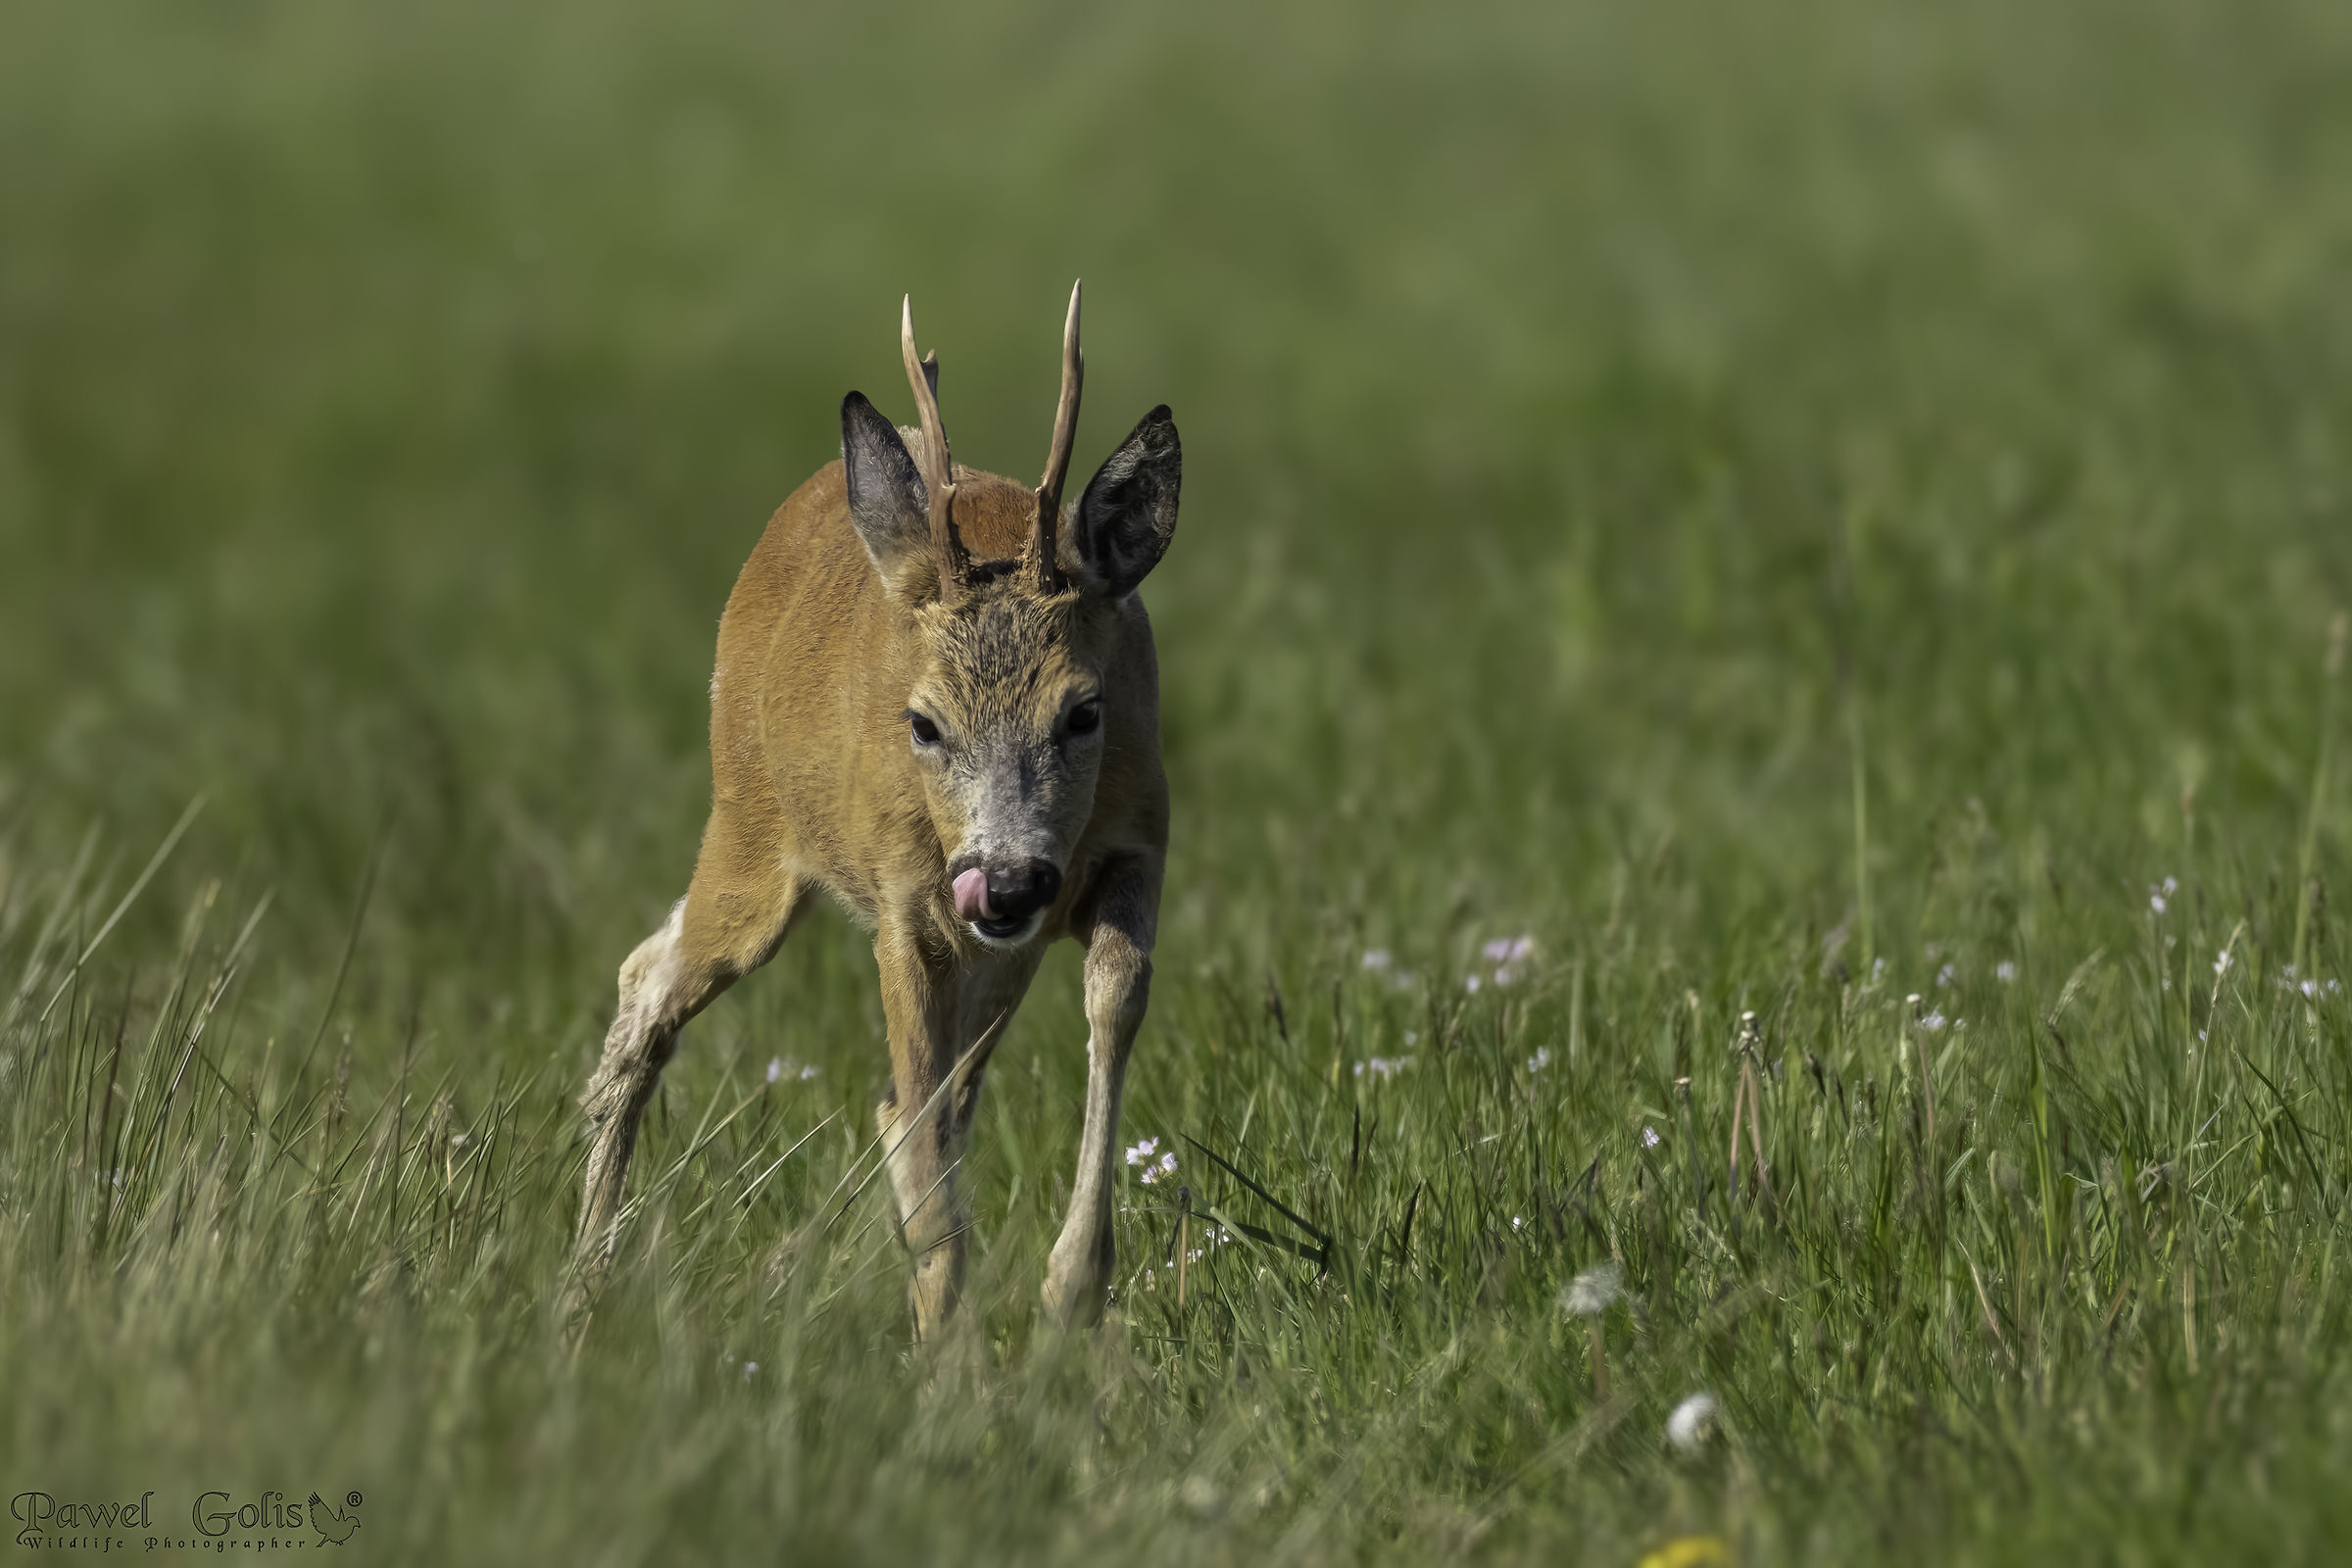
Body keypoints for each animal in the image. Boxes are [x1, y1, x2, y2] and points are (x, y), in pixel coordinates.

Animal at [574, 284, 1179, 1339]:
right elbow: (924, 1110)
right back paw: (582, 1286)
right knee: (652, 978)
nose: (1009, 878)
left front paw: (1071, 1291)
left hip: (985, 942)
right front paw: (946, 1337)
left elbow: (1111, 1005)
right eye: (922, 722)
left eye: (1084, 710)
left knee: (927, 1097)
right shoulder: (906, 899)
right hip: (749, 823)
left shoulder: (1137, 844)